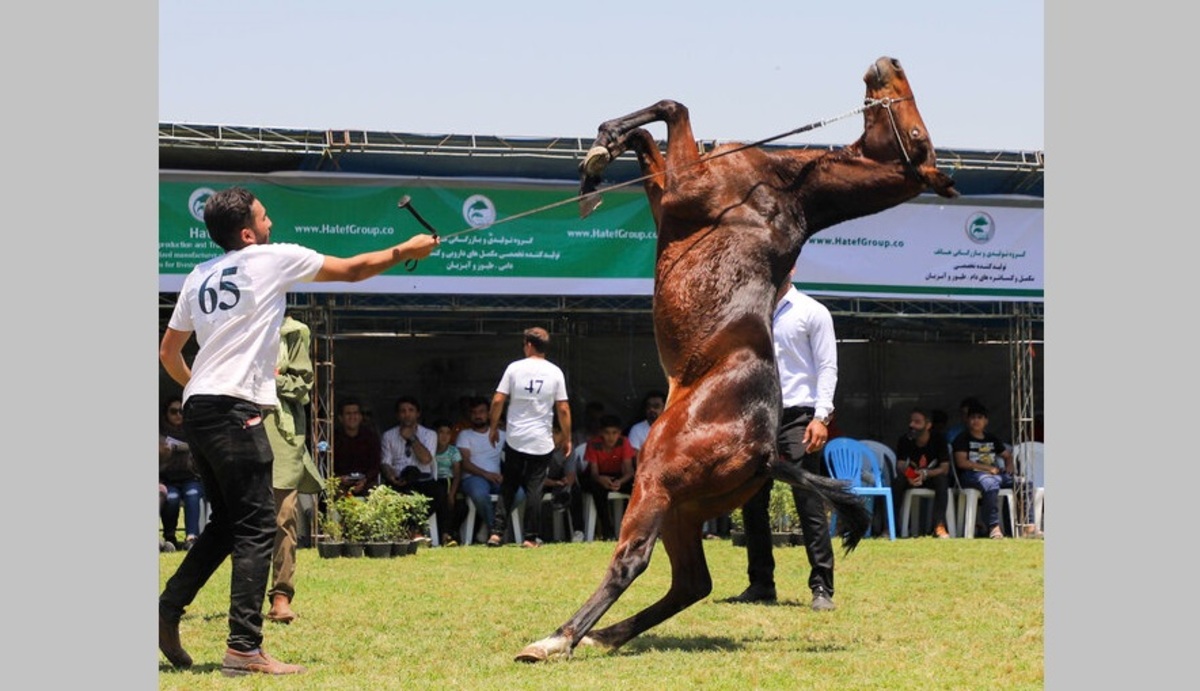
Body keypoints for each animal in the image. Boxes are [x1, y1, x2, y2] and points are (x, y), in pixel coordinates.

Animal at [516, 56, 955, 662]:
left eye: (917, 138)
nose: (888, 64)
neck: (777, 190)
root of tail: (765, 453)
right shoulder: (667, 196)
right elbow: (650, 140)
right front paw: (600, 156)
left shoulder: (683, 188)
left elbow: (671, 110)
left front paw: (601, 149)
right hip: (684, 508)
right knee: (691, 583)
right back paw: (606, 633)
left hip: (655, 484)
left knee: (633, 559)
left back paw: (558, 639)